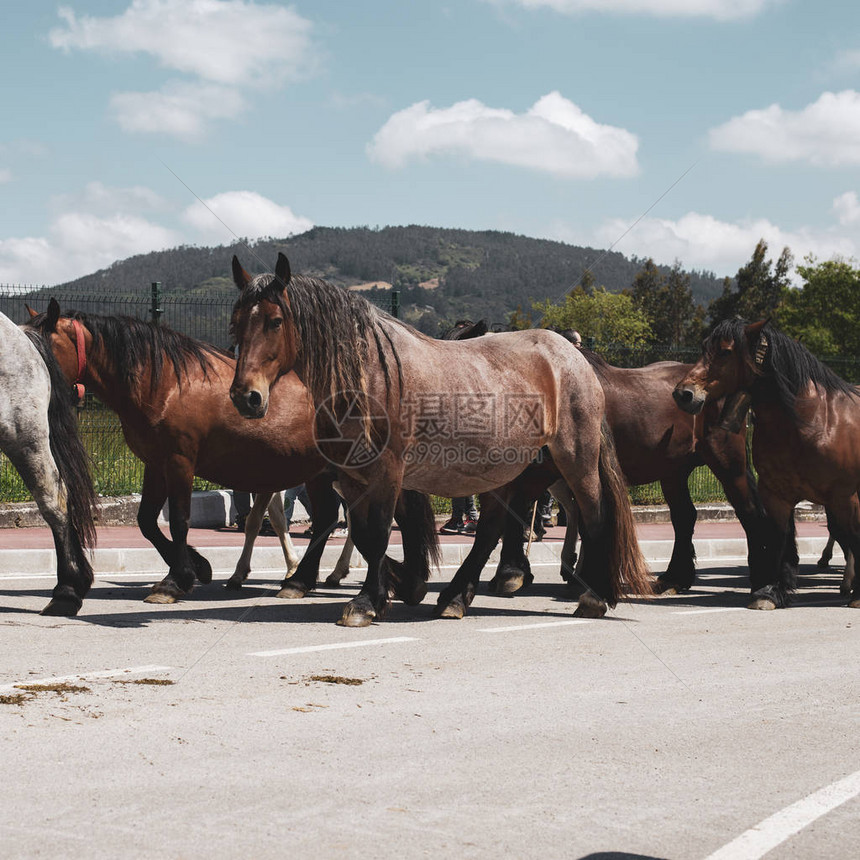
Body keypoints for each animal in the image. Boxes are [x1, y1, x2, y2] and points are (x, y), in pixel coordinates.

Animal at [26, 298, 436, 608]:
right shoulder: (156, 464)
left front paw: (178, 579)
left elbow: (178, 521)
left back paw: (400, 579)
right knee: (328, 520)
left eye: (38, 345)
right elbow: (147, 522)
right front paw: (198, 565)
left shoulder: (179, 462)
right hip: (324, 473)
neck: (165, 381)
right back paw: (306, 580)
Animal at [228, 254, 652, 624]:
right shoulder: (350, 476)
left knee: (594, 514)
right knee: (493, 528)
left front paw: (367, 601)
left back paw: (593, 595)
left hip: (575, 458)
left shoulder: (387, 472)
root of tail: (574, 357)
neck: (368, 375)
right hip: (506, 468)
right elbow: (362, 534)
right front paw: (397, 585)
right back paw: (455, 596)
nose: (246, 397)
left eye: (275, 321)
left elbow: (376, 533)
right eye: (235, 324)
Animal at [672, 320, 860, 608]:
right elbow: (778, 540)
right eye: (704, 348)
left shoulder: (845, 497)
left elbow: (855, 540)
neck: (815, 422)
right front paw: (770, 592)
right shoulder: (775, 495)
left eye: (725, 351)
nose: (683, 393)